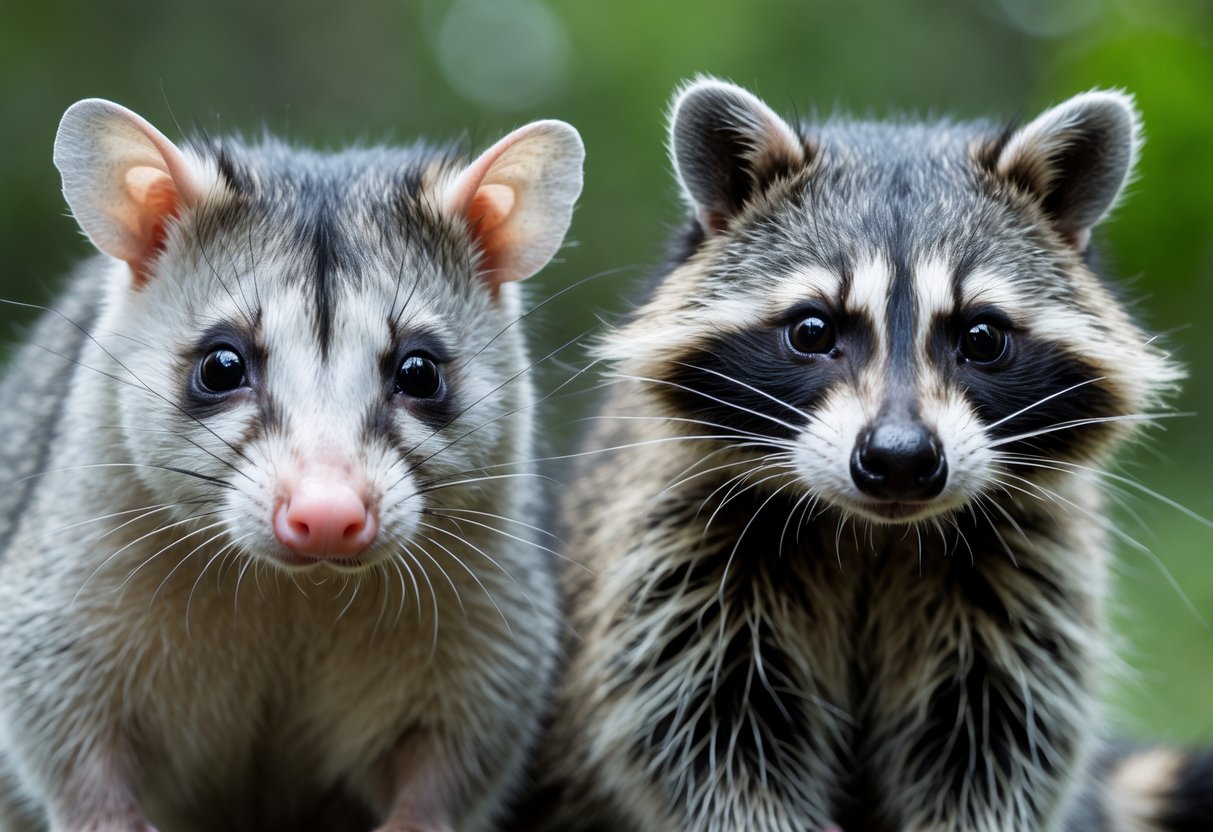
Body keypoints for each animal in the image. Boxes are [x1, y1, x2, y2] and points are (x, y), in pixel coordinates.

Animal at [0, 99, 582, 831]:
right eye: (221, 366)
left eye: (419, 373)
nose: (328, 517)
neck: (298, 588)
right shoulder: (76, 543)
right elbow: (58, 718)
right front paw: (104, 814)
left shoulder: (490, 602)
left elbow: (461, 743)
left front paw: (420, 813)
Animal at [530, 79, 1210, 831]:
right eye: (811, 330)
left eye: (981, 336)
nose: (900, 460)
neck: (873, 536)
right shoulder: (672, 542)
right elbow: (704, 734)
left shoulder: (1031, 568)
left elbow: (999, 745)